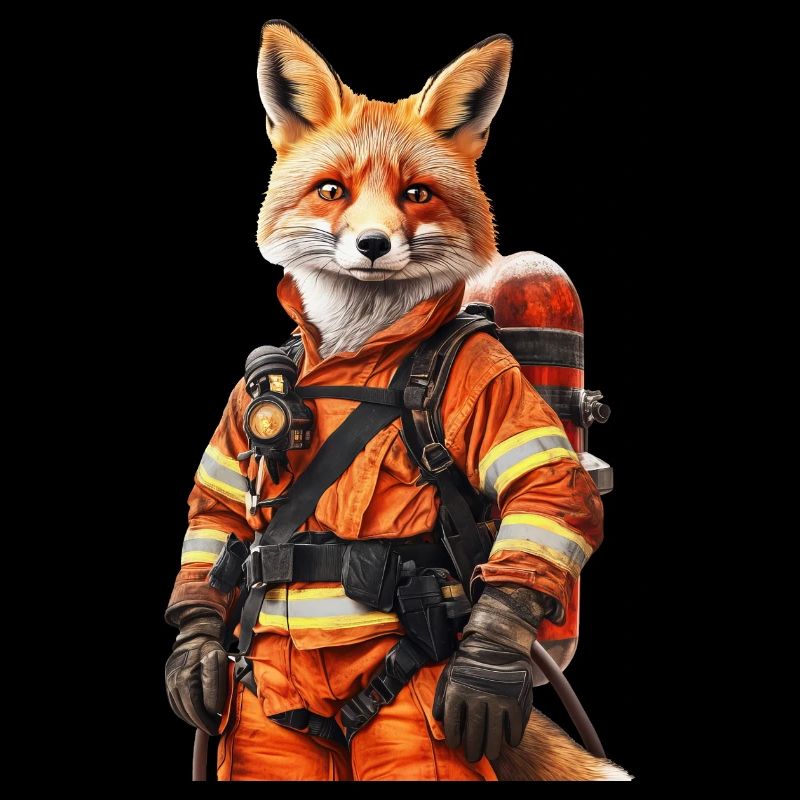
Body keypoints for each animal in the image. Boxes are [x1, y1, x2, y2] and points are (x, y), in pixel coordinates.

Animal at [253, 20, 630, 781]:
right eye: (332, 190)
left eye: (417, 193)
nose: (372, 244)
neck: (361, 347)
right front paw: (195, 655)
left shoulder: (490, 376)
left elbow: (550, 488)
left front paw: (483, 673)